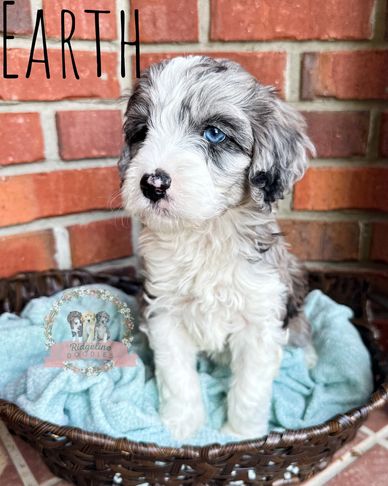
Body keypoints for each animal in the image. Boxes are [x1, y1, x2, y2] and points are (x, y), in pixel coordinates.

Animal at [119, 55, 316, 438]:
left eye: (213, 133)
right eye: (142, 132)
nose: (152, 184)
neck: (205, 232)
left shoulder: (260, 321)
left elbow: (250, 390)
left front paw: (240, 435)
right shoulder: (164, 311)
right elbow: (178, 378)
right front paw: (180, 428)